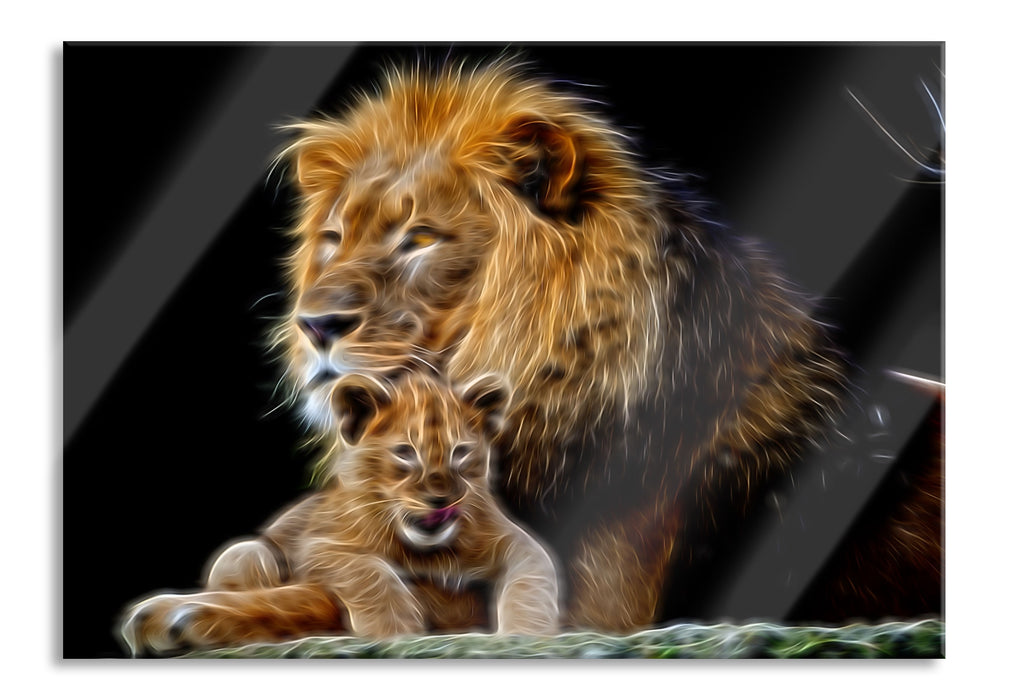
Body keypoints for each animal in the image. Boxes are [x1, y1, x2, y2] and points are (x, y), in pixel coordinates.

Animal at [120, 371, 559, 655]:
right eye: (405, 453)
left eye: (461, 452)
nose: (441, 499)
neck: (431, 552)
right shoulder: (322, 545)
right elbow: (370, 574)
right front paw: (395, 632)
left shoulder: (515, 542)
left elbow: (532, 580)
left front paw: (528, 634)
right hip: (245, 552)